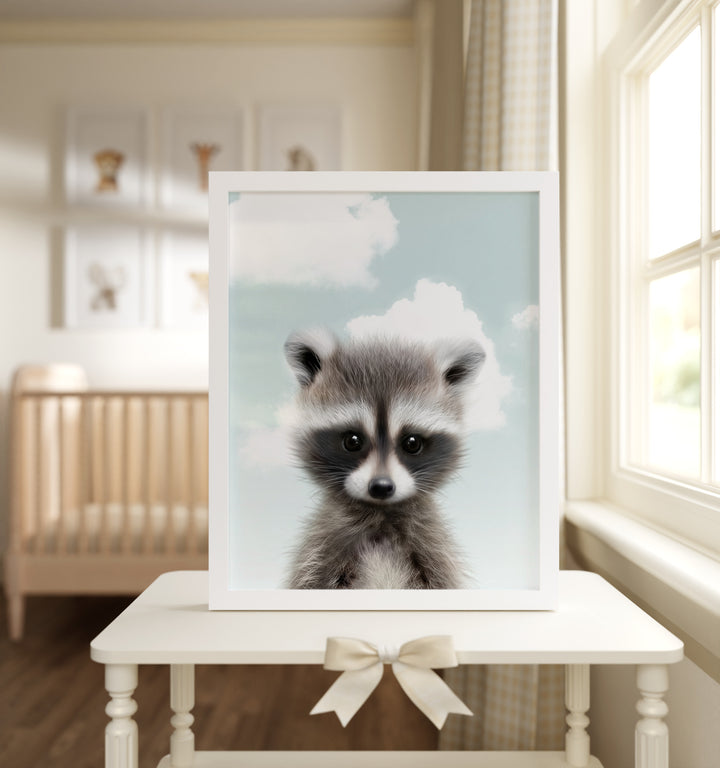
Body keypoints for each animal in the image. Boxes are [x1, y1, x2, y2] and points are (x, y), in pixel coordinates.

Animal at [283, 328, 485, 590]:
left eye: (412, 443)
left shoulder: (432, 546)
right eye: (353, 441)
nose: (381, 487)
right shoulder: (323, 546)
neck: (381, 516)